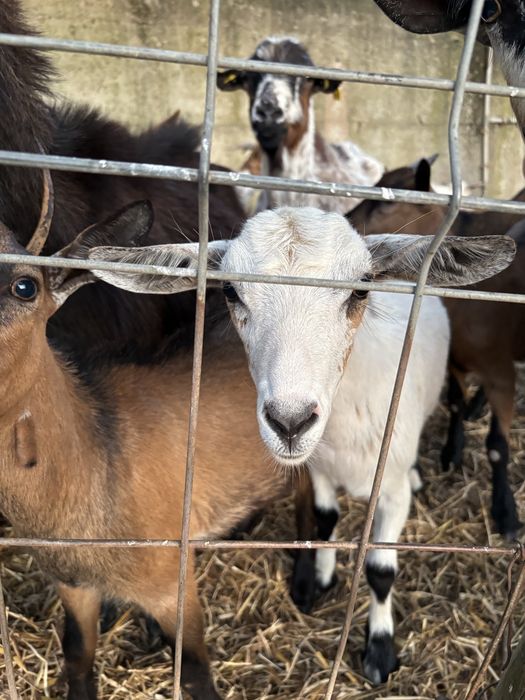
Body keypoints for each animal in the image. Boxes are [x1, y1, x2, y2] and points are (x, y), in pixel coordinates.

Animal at [89, 208, 514, 685]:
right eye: (231, 291)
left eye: (362, 286)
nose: (290, 422)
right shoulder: (321, 471)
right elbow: (326, 522)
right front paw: (325, 578)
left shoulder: (391, 492)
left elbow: (380, 571)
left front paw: (380, 652)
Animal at [350, 157, 525, 539]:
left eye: (386, 201)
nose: (347, 223)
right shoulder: (455, 360)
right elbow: (455, 403)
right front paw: (451, 451)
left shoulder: (499, 371)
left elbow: (496, 448)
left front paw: (506, 515)